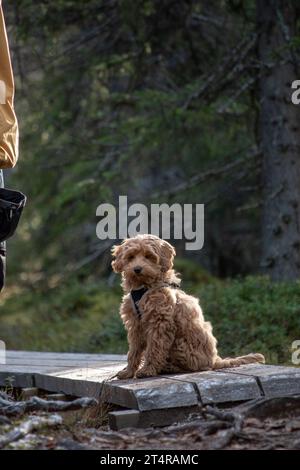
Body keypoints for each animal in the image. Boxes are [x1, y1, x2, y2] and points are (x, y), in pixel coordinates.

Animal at [112, 233, 264, 380]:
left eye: (148, 256)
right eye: (131, 257)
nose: (137, 269)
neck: (145, 287)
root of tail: (215, 360)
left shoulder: (160, 323)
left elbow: (154, 348)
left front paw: (147, 370)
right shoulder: (135, 325)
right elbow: (134, 351)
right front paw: (128, 372)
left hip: (181, 343)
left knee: (192, 366)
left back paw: (169, 367)